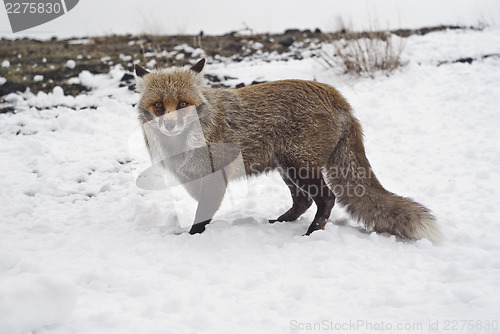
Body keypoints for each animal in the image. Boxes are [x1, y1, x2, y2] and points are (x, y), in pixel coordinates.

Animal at [135, 58, 444, 244]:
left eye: (183, 104)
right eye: (159, 106)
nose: (171, 124)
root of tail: (337, 96)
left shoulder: (214, 178)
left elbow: (202, 216)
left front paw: (192, 237)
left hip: (300, 165)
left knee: (326, 199)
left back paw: (312, 233)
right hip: (287, 168)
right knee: (303, 201)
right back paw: (279, 223)